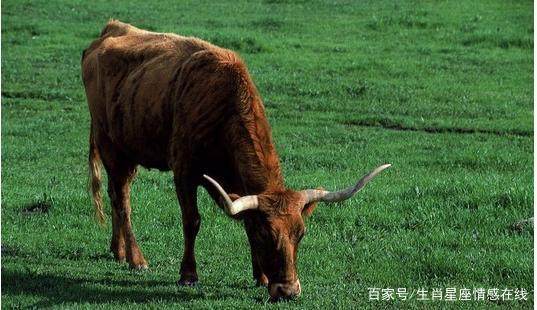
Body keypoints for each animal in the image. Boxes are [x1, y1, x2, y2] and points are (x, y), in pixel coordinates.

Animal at [80, 20, 390, 300]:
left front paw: (260, 276)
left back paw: (118, 251)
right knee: (123, 201)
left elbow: (244, 219)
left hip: (127, 152)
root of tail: (109, 30)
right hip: (110, 146)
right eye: (267, 235)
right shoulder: (184, 171)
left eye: (300, 234)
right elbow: (192, 221)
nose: (288, 291)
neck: (222, 106)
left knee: (116, 196)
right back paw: (136, 259)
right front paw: (188, 274)